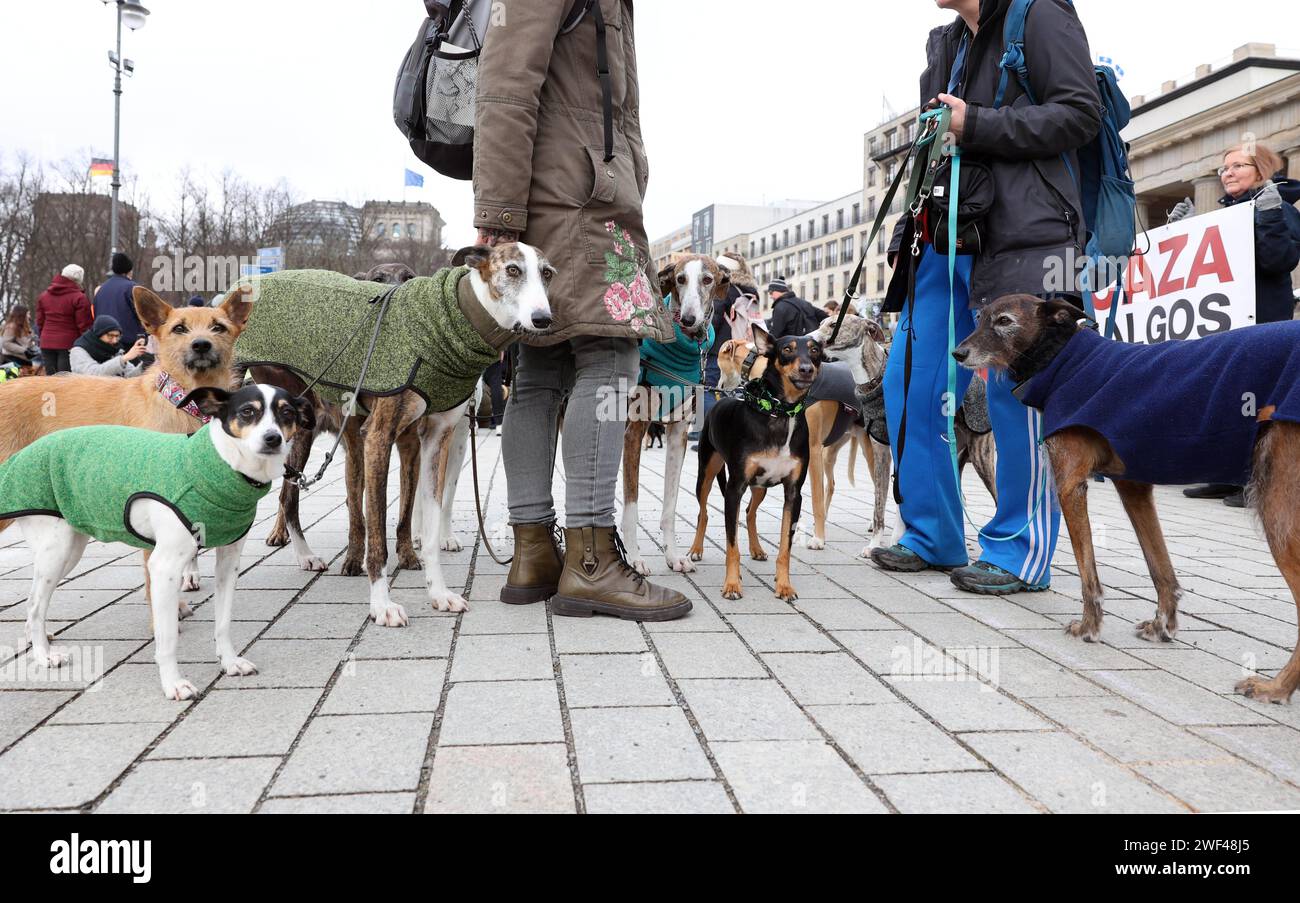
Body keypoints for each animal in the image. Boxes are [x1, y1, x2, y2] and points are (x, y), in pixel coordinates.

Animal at [686, 324, 816, 600]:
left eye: (815, 350)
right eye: (786, 349)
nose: (806, 369)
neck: (779, 412)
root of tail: (724, 397)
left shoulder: (794, 493)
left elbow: (785, 547)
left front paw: (784, 585)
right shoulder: (734, 488)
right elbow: (731, 545)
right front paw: (732, 585)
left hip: (760, 486)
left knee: (749, 513)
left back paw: (756, 549)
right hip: (707, 473)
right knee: (704, 512)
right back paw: (696, 549)